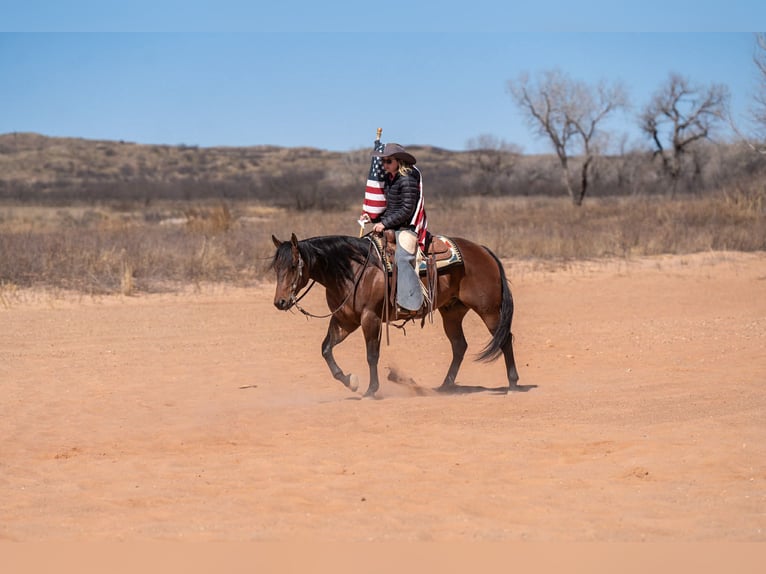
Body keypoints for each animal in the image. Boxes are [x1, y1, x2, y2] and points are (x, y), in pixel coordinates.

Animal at [270, 232, 520, 397]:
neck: (354, 271)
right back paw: (445, 386)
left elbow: (372, 355)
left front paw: (371, 389)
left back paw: (513, 383)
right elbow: (326, 349)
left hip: (488, 310)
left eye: (293, 266)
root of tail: (483, 250)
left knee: (504, 339)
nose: (280, 302)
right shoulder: (344, 320)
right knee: (459, 345)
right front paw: (350, 381)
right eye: (276, 268)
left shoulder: (370, 318)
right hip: (452, 312)